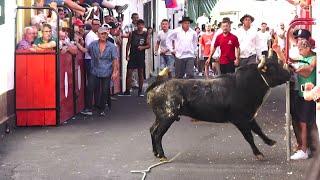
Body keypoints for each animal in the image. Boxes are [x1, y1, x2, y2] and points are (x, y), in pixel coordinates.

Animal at [146, 59, 292, 161]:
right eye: (273, 68)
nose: (289, 73)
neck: (244, 85)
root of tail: (159, 84)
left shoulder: (249, 117)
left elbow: (258, 130)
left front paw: (270, 141)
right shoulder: (240, 120)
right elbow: (249, 136)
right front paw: (259, 154)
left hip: (160, 117)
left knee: (152, 130)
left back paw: (155, 153)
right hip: (167, 117)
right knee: (158, 134)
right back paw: (162, 155)